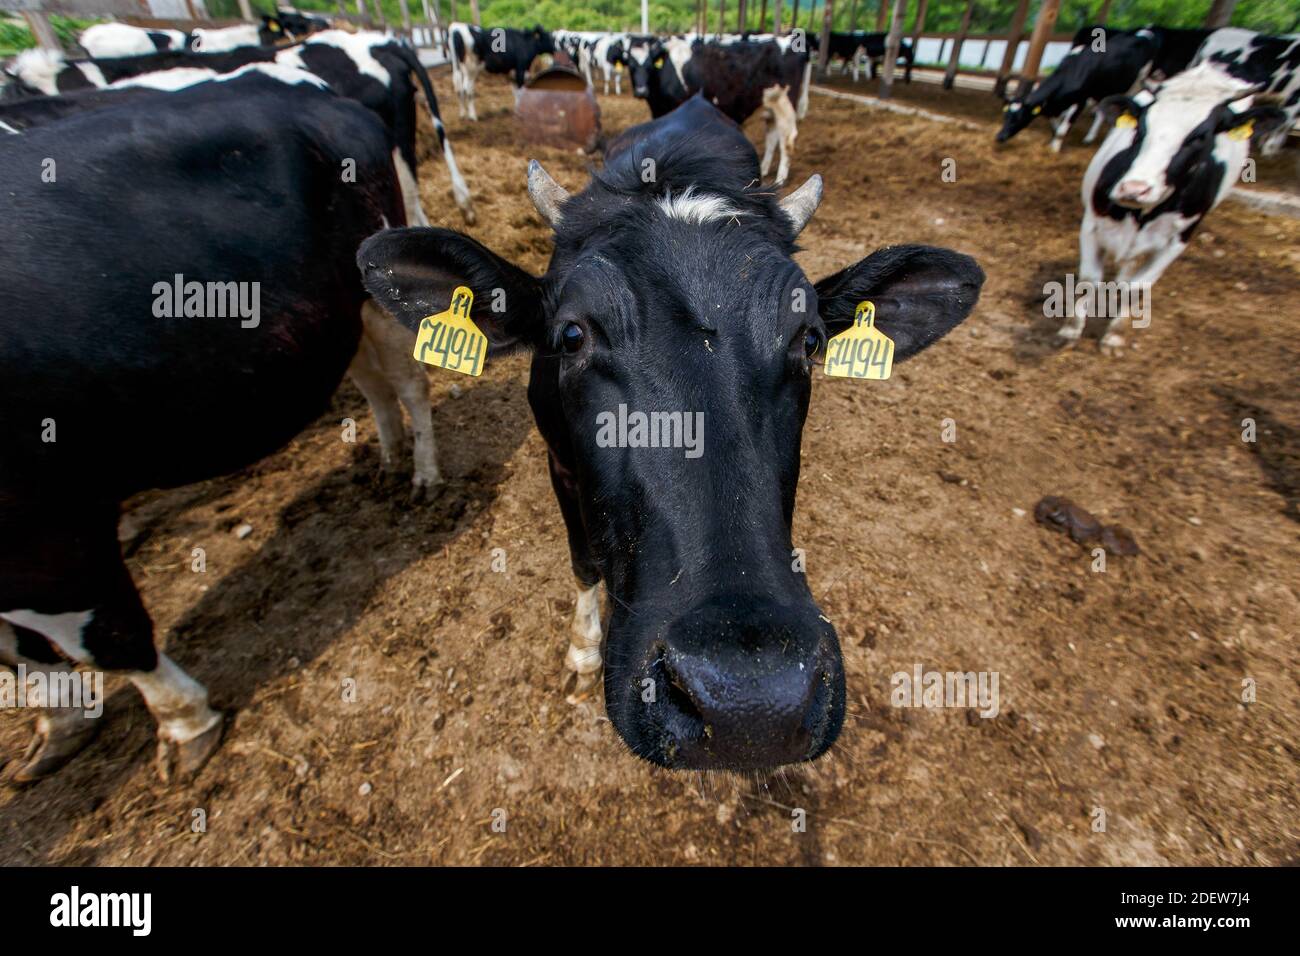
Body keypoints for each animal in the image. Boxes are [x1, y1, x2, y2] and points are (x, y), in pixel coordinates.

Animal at [0, 69, 428, 784]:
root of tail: (330, 100)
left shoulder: (48, 528)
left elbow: (109, 638)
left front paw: (184, 725)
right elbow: (23, 651)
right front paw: (60, 725)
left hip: (378, 293)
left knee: (411, 382)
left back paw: (425, 476)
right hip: (337, 312)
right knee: (373, 382)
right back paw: (391, 460)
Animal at [356, 94, 985, 770]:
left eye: (810, 339)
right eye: (571, 334)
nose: (750, 699)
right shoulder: (558, 461)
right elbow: (583, 560)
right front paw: (582, 651)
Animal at [628, 38, 807, 184]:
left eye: (649, 65)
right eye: (630, 65)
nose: (641, 91)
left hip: (784, 102)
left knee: (787, 139)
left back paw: (781, 179)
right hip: (770, 105)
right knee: (772, 136)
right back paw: (764, 170)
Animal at [1056, 63, 1285, 354]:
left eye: (1200, 136)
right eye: (1141, 128)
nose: (1134, 188)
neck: (1142, 212)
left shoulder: (1177, 241)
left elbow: (1138, 288)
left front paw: (1113, 336)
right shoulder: (1092, 223)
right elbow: (1088, 279)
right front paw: (1070, 331)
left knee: (1130, 275)